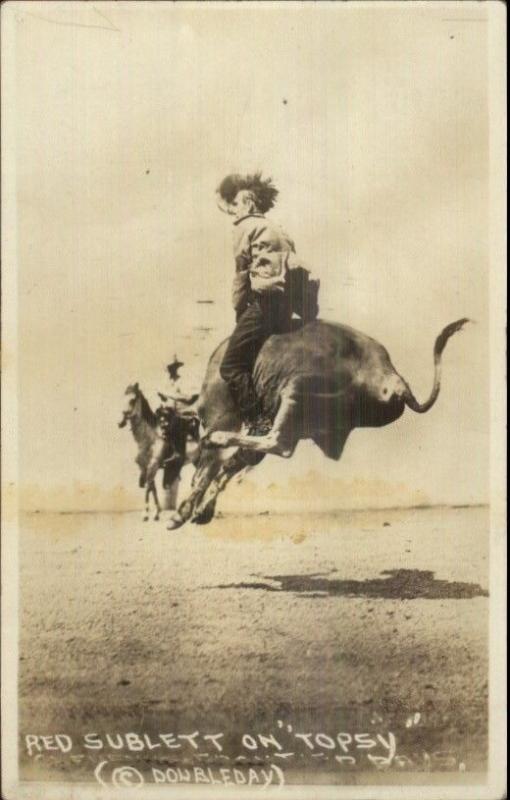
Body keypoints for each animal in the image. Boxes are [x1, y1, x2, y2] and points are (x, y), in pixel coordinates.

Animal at [165, 316, 468, 528]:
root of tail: (393, 380)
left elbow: (223, 462)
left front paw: (190, 509)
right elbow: (230, 464)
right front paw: (196, 511)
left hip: (297, 388)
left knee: (279, 444)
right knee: (263, 449)